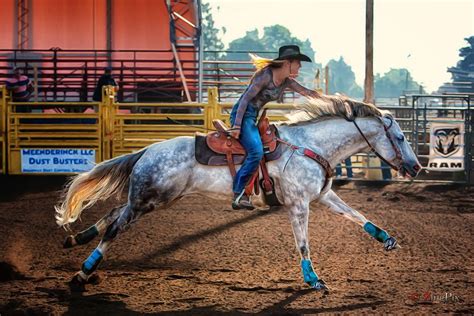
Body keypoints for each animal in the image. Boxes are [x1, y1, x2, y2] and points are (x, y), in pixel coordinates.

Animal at [55, 96, 422, 292]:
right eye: (401, 137)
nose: (417, 167)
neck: (310, 145)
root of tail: (147, 150)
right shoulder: (298, 205)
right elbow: (303, 243)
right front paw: (314, 280)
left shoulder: (321, 196)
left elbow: (358, 215)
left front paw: (387, 239)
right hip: (150, 198)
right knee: (115, 226)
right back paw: (81, 272)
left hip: (153, 197)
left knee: (111, 215)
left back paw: (76, 240)